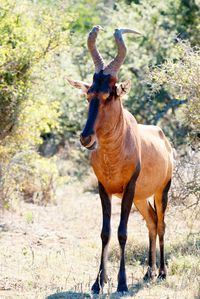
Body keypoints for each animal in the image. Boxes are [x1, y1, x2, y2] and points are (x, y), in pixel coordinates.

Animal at [67, 25, 173, 296]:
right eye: (89, 94)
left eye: (109, 95)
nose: (86, 138)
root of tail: (163, 137)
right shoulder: (103, 189)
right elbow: (105, 232)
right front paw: (98, 283)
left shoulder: (128, 188)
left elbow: (122, 232)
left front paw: (122, 283)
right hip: (140, 199)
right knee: (152, 223)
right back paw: (148, 273)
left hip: (160, 191)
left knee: (162, 224)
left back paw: (162, 272)